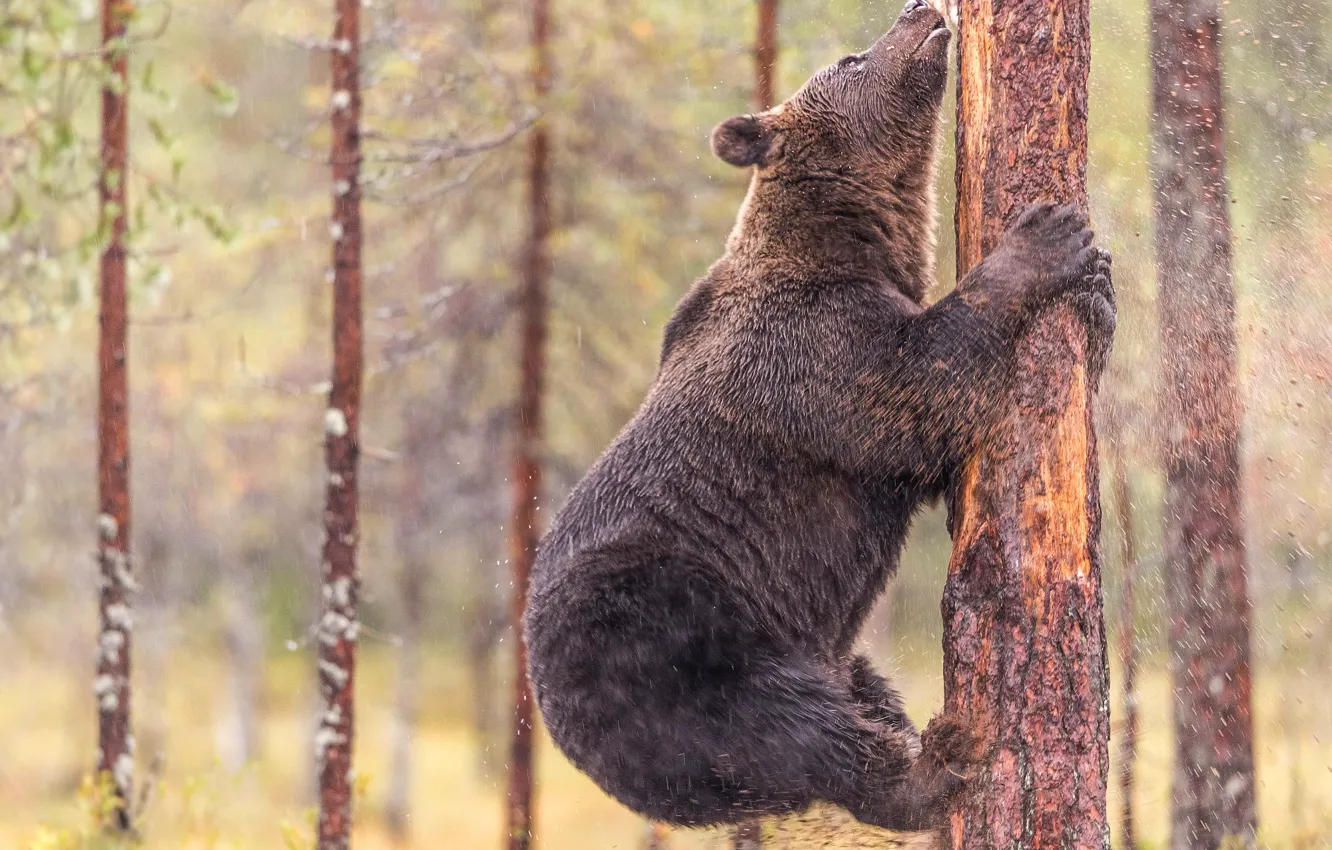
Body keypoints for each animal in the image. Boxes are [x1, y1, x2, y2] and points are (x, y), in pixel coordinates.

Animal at [523, 0, 1115, 832]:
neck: (855, 240)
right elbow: (922, 387)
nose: (919, 10)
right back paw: (941, 759)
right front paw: (1047, 238)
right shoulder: (810, 353)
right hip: (671, 633)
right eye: (850, 57)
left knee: (847, 698)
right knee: (790, 722)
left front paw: (1099, 291)